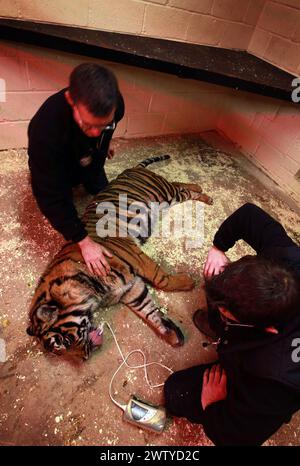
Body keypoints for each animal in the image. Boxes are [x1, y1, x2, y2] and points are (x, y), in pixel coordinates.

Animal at [26, 156, 213, 360]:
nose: (85, 357)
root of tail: (133, 169)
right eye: (60, 351)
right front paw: (171, 335)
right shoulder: (131, 291)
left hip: (166, 193)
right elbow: (150, 312)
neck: (92, 291)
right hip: (166, 199)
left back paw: (204, 194)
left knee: (183, 189)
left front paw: (189, 282)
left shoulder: (137, 258)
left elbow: (161, 279)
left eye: (63, 342)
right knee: (178, 185)